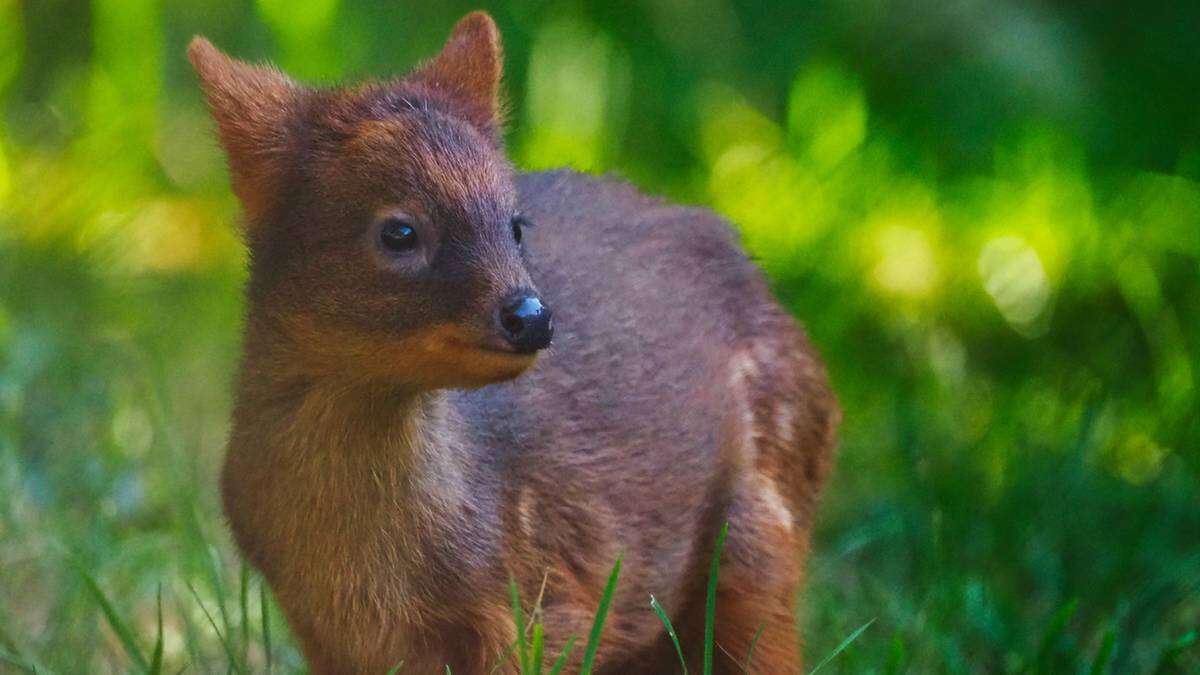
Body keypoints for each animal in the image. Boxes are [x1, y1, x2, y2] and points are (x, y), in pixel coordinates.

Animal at [192, 10, 840, 672]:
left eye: (515, 224)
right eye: (399, 231)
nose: (532, 316)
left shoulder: (547, 601)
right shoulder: (325, 635)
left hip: (763, 522)